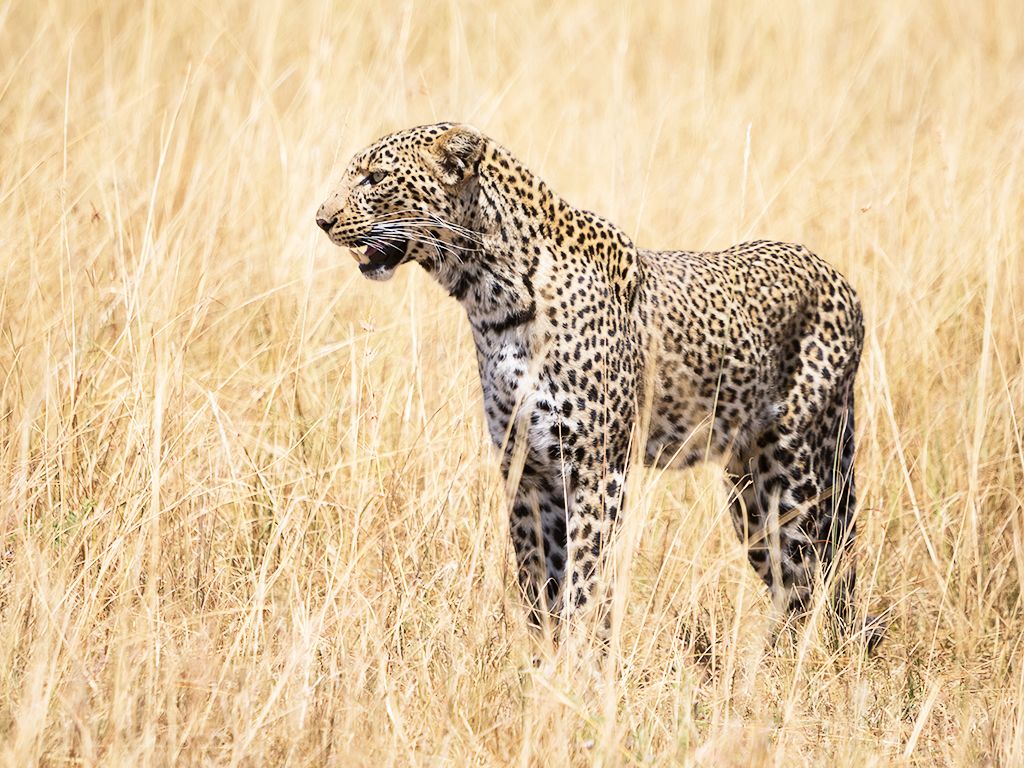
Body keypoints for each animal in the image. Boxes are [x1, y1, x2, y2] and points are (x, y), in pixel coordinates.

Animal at [315, 122, 885, 650]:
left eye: (375, 178)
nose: (322, 220)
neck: (490, 297)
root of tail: (841, 281)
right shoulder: (525, 470)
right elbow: (536, 577)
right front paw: (544, 662)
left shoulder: (597, 467)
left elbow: (585, 577)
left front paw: (580, 661)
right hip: (749, 493)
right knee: (793, 579)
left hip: (798, 474)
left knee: (820, 571)